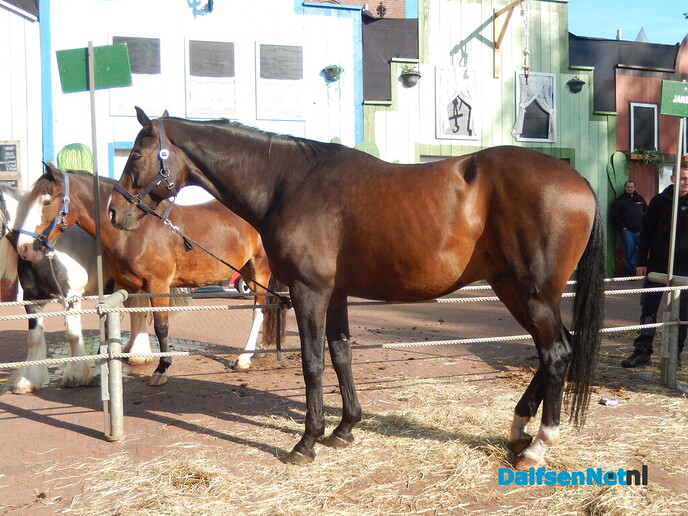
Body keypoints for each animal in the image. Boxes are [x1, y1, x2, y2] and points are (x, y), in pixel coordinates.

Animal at [0, 185, 152, 393]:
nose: (26, 250)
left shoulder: (71, 298)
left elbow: (72, 336)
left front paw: (76, 375)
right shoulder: (32, 301)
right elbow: (34, 339)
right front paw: (27, 381)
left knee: (135, 314)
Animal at [17, 165, 286, 387]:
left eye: (47, 201)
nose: (24, 248)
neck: (134, 232)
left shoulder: (158, 284)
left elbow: (161, 326)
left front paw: (162, 369)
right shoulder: (124, 285)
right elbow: (117, 322)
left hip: (260, 270)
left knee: (258, 311)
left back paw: (244, 358)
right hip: (247, 272)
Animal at [108, 107, 605, 470]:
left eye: (135, 156)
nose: (115, 211)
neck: (288, 183)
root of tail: (580, 181)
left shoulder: (310, 291)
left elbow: (313, 362)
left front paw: (307, 441)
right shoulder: (336, 294)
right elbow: (341, 352)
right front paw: (344, 429)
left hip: (534, 292)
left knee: (556, 352)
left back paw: (538, 446)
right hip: (512, 288)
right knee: (553, 349)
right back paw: (519, 430)